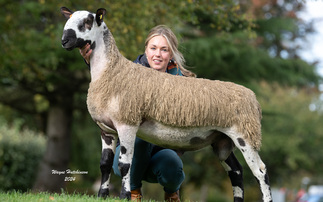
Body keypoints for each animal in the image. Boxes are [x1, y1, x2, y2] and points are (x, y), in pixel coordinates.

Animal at [60, 7, 274, 201]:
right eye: (68, 19)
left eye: (87, 22)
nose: (64, 41)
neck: (111, 71)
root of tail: (253, 98)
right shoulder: (106, 129)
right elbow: (105, 164)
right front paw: (102, 195)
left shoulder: (127, 123)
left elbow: (124, 165)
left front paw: (124, 196)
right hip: (221, 139)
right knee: (236, 172)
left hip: (244, 134)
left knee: (260, 171)